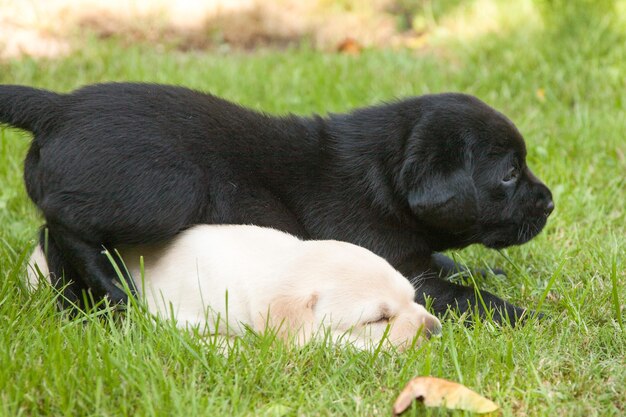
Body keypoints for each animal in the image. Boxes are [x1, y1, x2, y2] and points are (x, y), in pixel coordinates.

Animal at [0, 83, 552, 324]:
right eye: (509, 173)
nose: (549, 204)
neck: (384, 180)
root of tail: (57, 107)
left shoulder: (415, 254)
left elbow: (449, 264)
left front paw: (487, 272)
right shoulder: (397, 267)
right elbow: (461, 295)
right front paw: (531, 317)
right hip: (171, 191)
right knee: (65, 223)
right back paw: (112, 290)